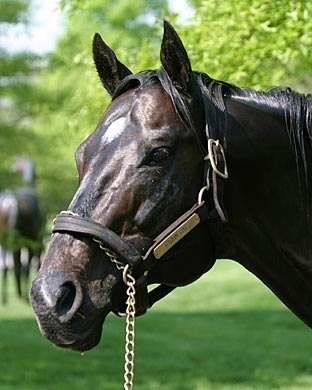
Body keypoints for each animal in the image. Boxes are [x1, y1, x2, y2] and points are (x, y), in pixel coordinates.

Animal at [0, 157, 44, 304]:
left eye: (16, 164)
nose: (11, 169)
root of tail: (12, 202)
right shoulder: (33, 241)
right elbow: (27, 267)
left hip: (6, 241)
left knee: (6, 267)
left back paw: (6, 298)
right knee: (22, 267)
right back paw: (22, 295)